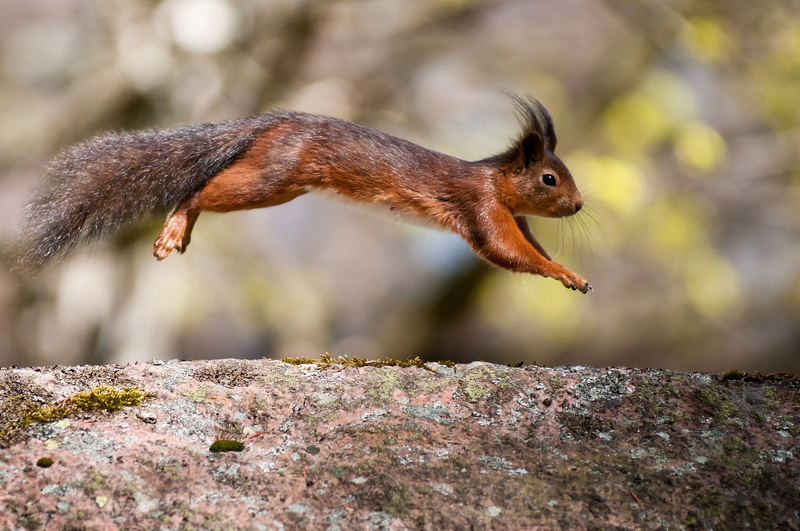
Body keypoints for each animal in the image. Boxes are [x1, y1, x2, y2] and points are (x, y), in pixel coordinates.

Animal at [19, 95, 591, 293]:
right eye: (550, 179)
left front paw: (572, 271)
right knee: (199, 191)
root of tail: (270, 123)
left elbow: (526, 246)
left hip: (276, 183)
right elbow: (505, 251)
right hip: (272, 179)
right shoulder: (481, 208)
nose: (579, 205)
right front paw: (564, 274)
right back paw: (176, 225)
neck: (497, 181)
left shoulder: (517, 218)